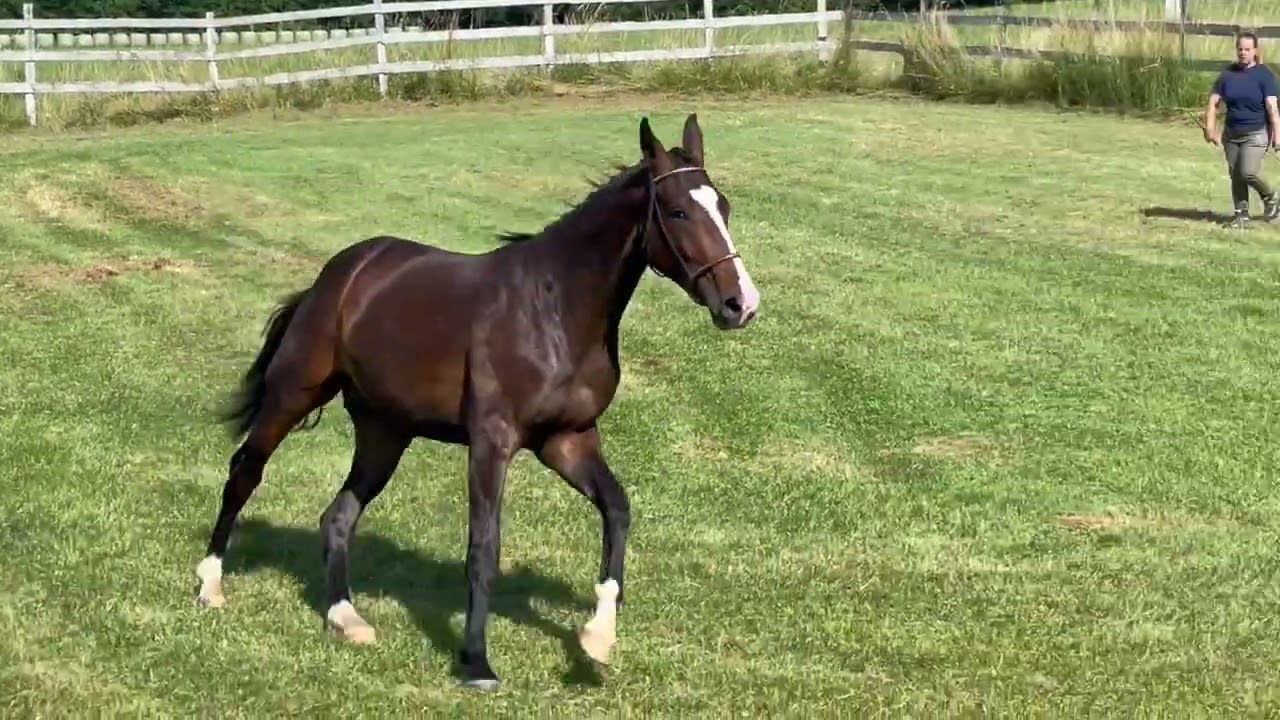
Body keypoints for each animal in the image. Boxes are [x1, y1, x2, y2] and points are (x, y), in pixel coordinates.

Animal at [192, 113, 762, 690]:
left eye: (724, 206)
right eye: (678, 210)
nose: (740, 304)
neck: (554, 309)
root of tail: (339, 274)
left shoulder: (568, 440)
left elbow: (617, 509)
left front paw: (597, 638)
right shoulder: (492, 441)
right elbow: (483, 547)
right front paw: (477, 662)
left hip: (384, 432)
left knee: (338, 514)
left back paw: (345, 617)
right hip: (293, 394)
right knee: (245, 471)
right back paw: (210, 584)